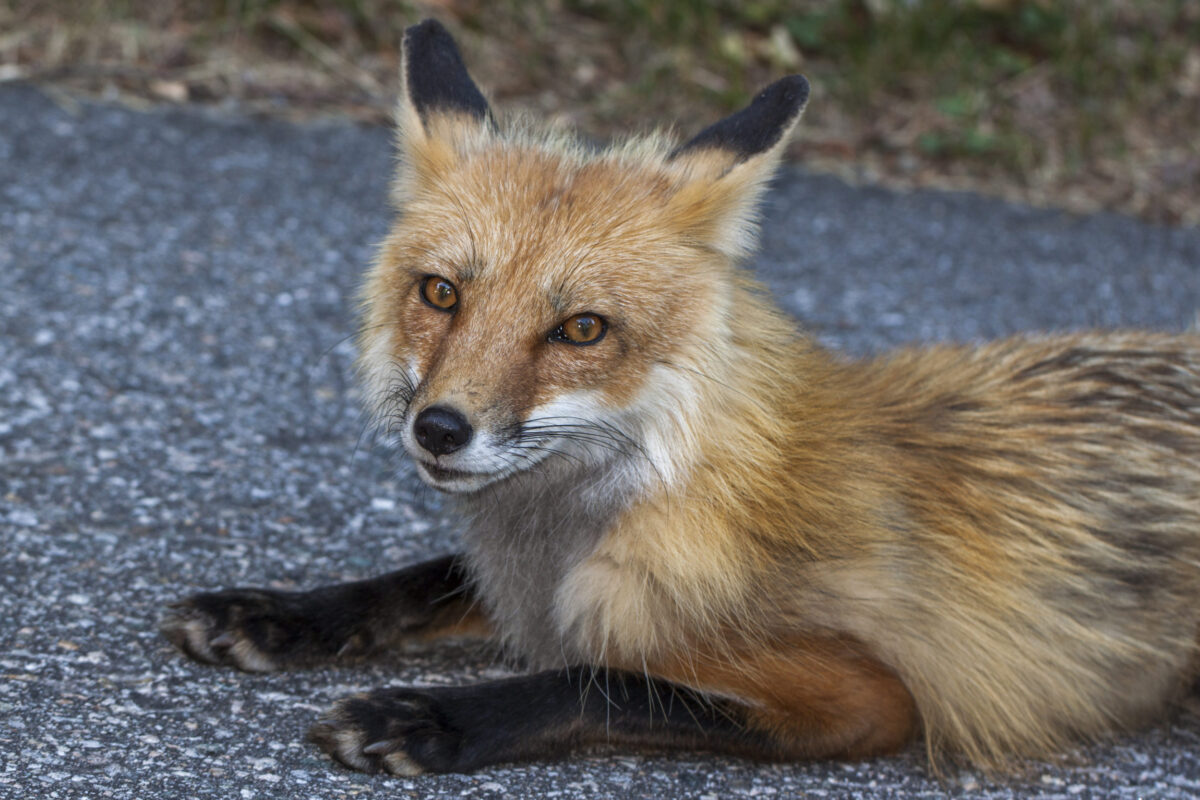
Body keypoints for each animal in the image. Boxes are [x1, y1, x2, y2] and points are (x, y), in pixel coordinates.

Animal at [160, 18, 1200, 777]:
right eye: (442, 293)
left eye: (582, 329)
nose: (441, 430)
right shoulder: (535, 584)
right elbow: (424, 577)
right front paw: (279, 613)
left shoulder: (866, 694)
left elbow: (602, 683)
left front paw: (432, 719)